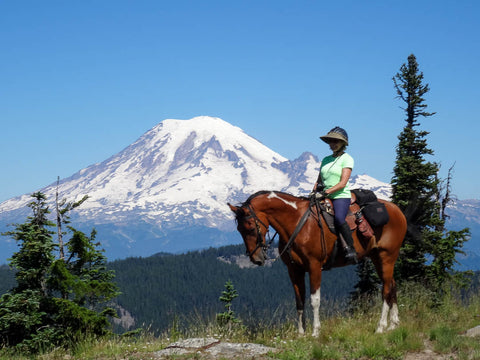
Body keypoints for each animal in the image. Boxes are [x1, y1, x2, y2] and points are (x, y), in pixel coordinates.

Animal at [228, 190, 404, 336]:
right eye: (239, 230)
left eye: (250, 227)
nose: (256, 259)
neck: (297, 222)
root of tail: (397, 210)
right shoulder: (294, 270)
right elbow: (299, 301)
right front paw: (301, 333)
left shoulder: (314, 266)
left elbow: (315, 300)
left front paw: (315, 332)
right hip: (377, 257)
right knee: (392, 284)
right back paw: (394, 324)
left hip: (387, 256)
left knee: (386, 289)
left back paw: (381, 326)